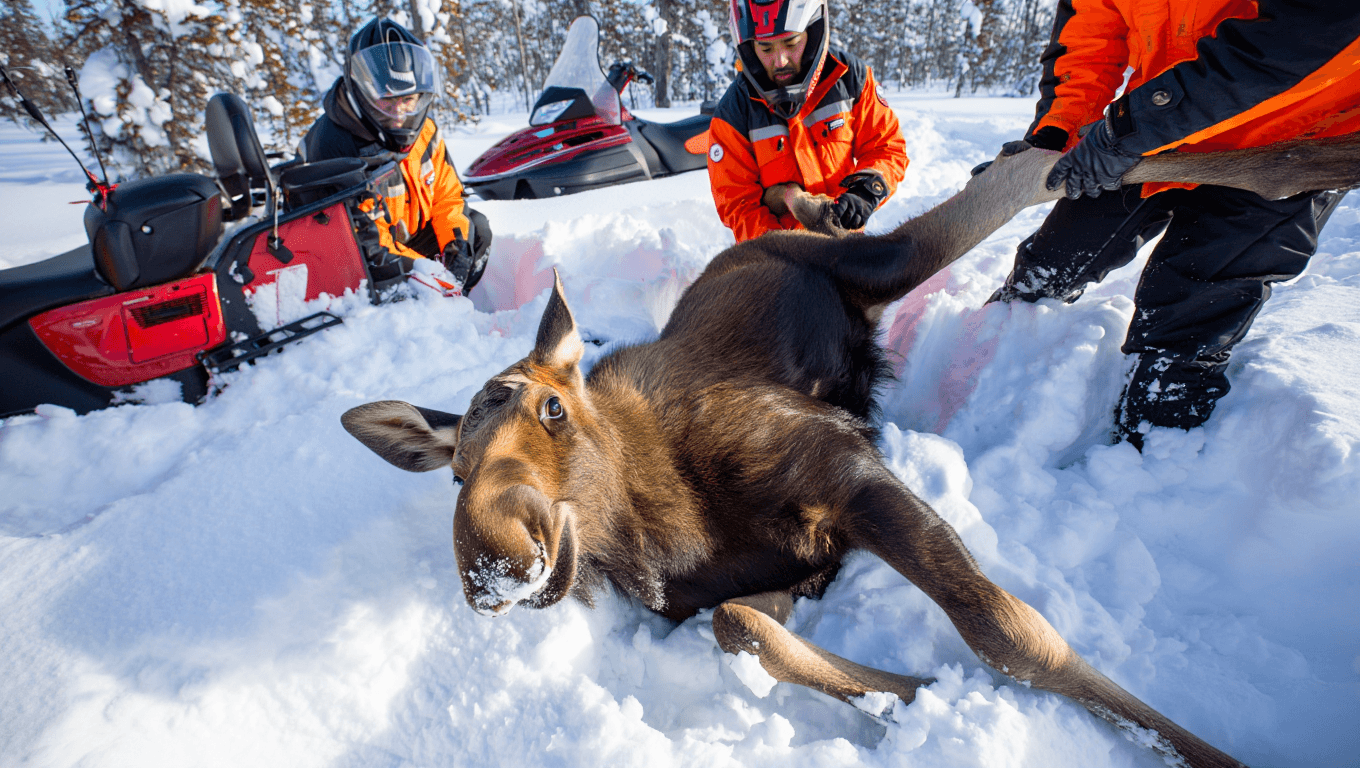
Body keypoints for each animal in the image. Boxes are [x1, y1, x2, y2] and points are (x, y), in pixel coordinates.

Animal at [340, 134, 1360, 768]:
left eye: (551, 406)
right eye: (456, 469)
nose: (490, 560)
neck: (652, 529)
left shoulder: (845, 476)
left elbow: (1009, 631)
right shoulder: (791, 567)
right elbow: (745, 629)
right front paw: (926, 692)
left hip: (882, 261)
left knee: (1047, 160)